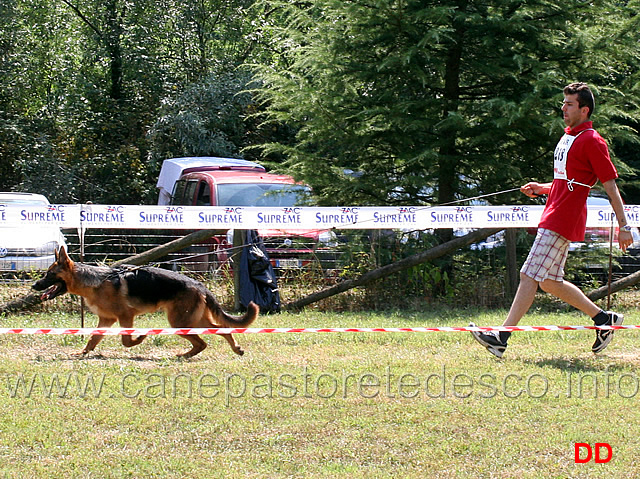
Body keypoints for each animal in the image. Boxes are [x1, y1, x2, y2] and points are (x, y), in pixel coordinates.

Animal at [31, 249, 258, 358]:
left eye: (49, 274)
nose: (34, 285)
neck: (95, 281)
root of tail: (199, 285)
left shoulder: (125, 317)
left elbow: (126, 341)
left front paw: (140, 338)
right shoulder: (106, 320)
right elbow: (92, 340)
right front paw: (82, 353)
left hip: (179, 322)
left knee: (204, 341)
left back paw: (185, 355)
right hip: (191, 320)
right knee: (220, 330)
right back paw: (232, 349)